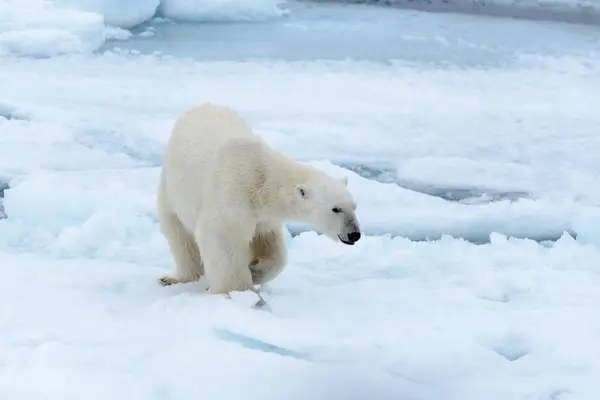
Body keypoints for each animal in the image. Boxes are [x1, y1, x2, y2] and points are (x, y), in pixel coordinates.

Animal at [156, 103, 360, 296]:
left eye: (354, 206)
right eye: (336, 209)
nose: (354, 234)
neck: (263, 180)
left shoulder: (264, 216)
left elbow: (269, 246)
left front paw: (254, 272)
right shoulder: (233, 195)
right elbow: (223, 237)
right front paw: (242, 292)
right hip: (173, 187)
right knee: (180, 235)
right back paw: (177, 278)